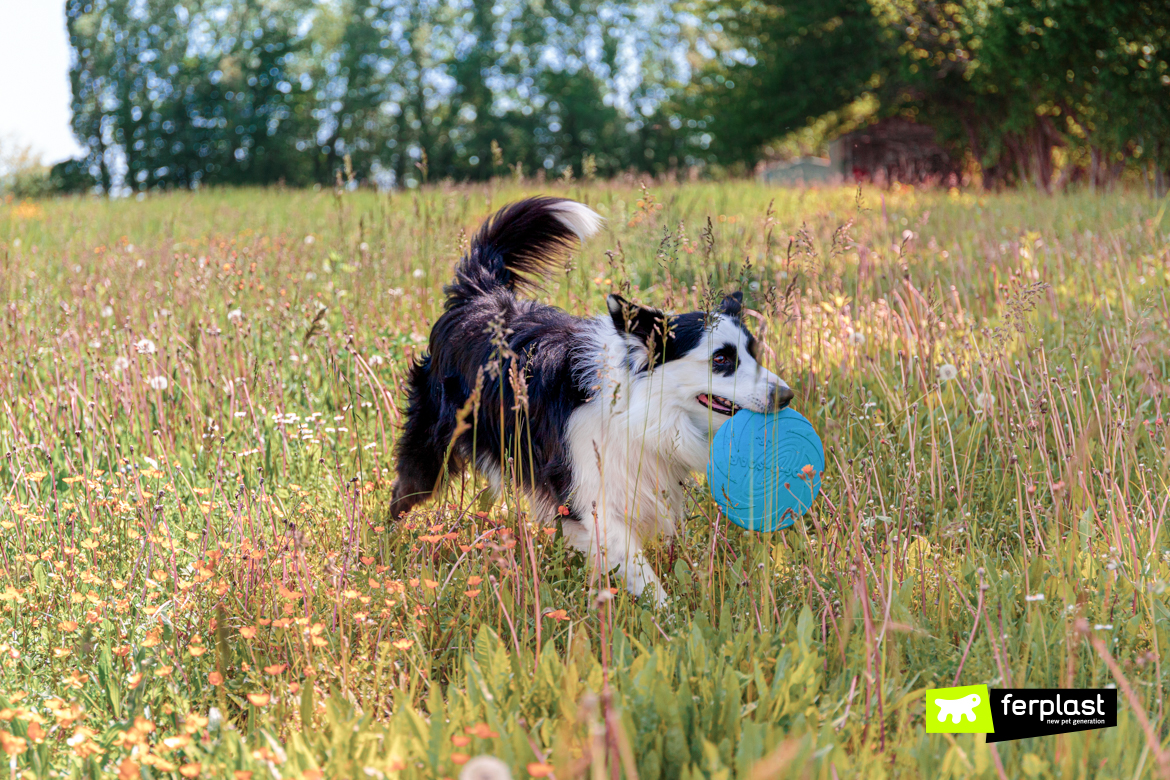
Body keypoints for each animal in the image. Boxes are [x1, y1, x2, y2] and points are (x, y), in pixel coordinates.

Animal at [388, 196, 790, 603]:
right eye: (721, 359)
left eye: (754, 354)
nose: (786, 396)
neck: (637, 407)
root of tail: (480, 296)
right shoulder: (588, 493)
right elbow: (637, 568)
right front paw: (666, 612)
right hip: (431, 450)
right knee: (403, 494)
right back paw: (389, 547)